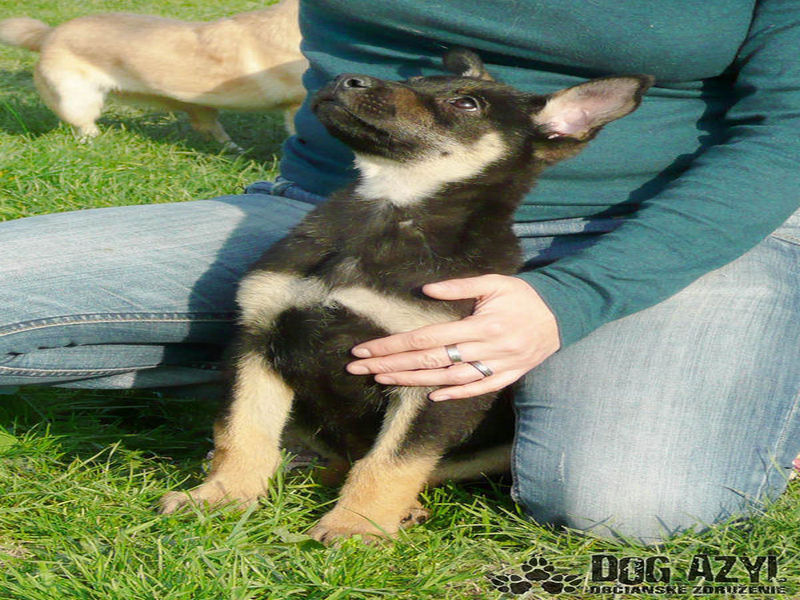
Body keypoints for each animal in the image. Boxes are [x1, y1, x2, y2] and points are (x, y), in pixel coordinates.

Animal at [0, 0, 305, 150]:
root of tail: (48, 33)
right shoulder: (296, 108)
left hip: (203, 108)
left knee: (210, 129)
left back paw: (233, 148)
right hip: (78, 101)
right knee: (84, 128)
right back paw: (94, 143)